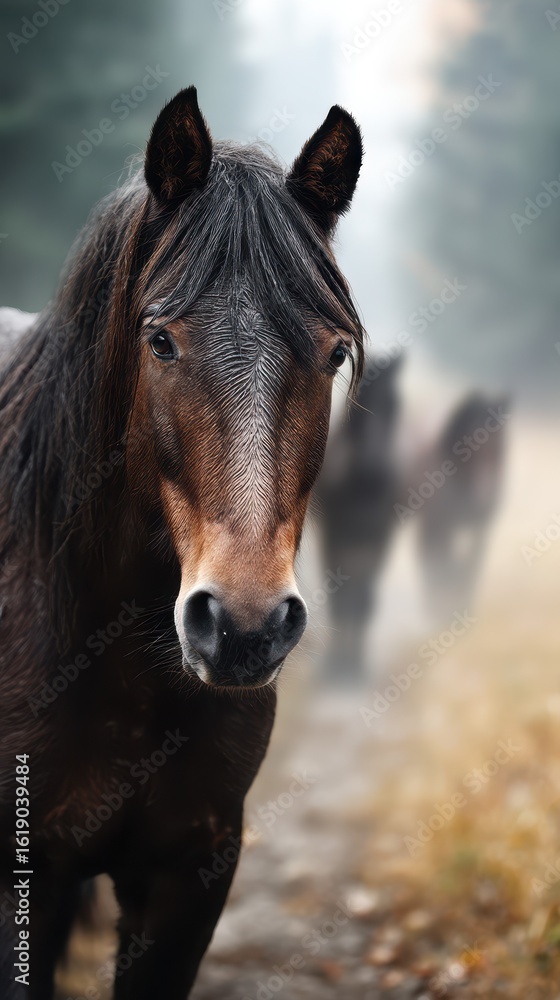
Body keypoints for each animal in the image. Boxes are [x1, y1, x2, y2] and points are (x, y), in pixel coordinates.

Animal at [314, 356, 400, 682]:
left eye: (395, 404)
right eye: (361, 404)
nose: (374, 474)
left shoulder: (380, 538)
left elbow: (364, 600)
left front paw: (355, 667)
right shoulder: (333, 537)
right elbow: (341, 600)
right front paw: (336, 667)